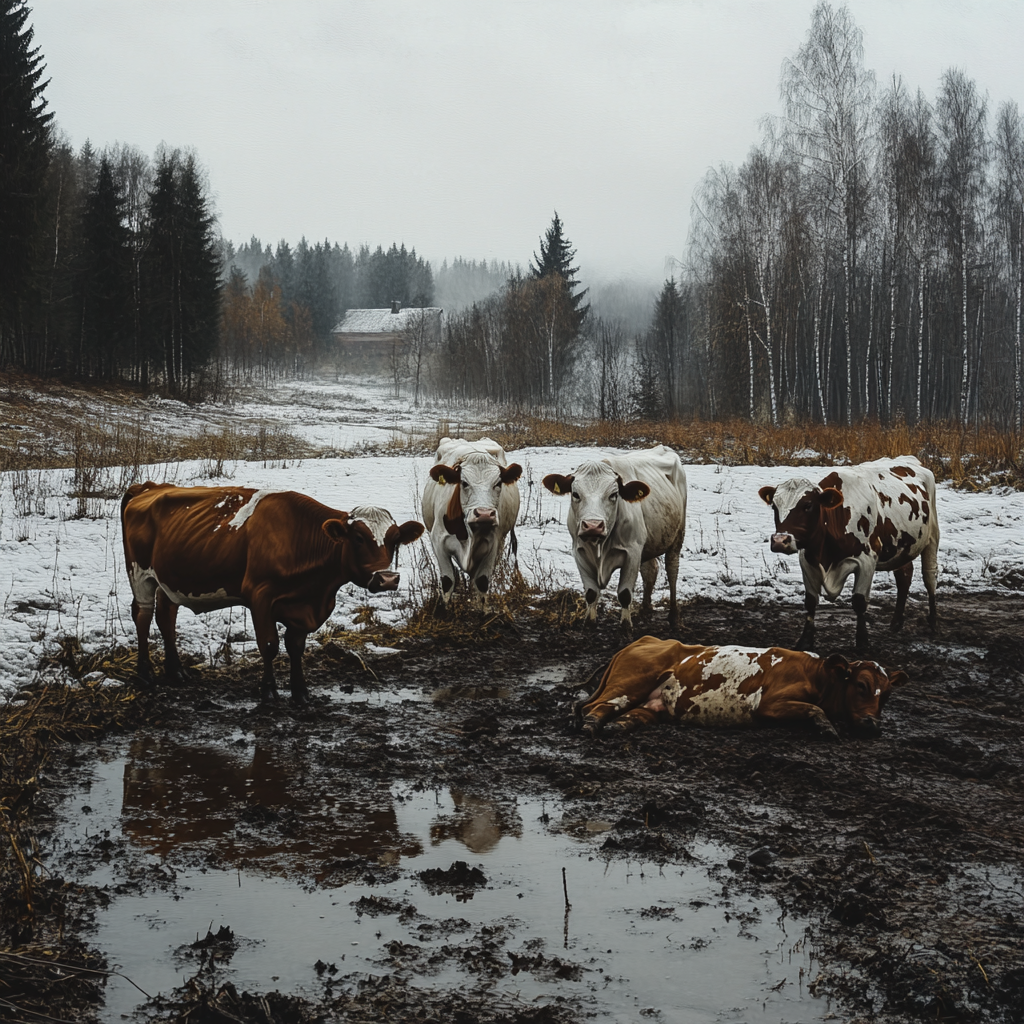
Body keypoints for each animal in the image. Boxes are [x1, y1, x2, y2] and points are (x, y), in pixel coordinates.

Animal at [120, 481, 423, 704]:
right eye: (358, 538)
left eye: (396, 539)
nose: (386, 579)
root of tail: (150, 486)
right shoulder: (260, 596)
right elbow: (269, 645)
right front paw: (268, 691)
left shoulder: (304, 608)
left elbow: (296, 647)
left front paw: (301, 692)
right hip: (141, 574)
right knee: (143, 616)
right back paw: (145, 674)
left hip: (168, 579)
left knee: (166, 617)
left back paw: (176, 671)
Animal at [419, 436, 524, 610]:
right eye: (464, 483)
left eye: (498, 483)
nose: (484, 514)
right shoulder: (439, 541)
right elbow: (448, 581)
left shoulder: (493, 546)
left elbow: (481, 582)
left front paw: (481, 611)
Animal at [544, 446, 688, 630]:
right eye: (575, 494)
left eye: (614, 494)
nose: (593, 525)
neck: (600, 545)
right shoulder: (579, 552)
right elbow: (591, 594)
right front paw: (589, 623)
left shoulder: (632, 554)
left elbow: (625, 595)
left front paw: (626, 627)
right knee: (650, 570)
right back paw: (645, 609)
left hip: (677, 537)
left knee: (672, 571)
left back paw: (673, 616)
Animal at [581, 634, 909, 741]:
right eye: (861, 685)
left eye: (887, 695)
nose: (872, 724)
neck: (815, 674)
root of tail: (646, 639)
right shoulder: (768, 704)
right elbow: (814, 709)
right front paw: (827, 728)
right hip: (630, 683)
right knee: (593, 707)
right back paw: (589, 725)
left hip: (653, 705)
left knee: (626, 716)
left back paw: (614, 727)